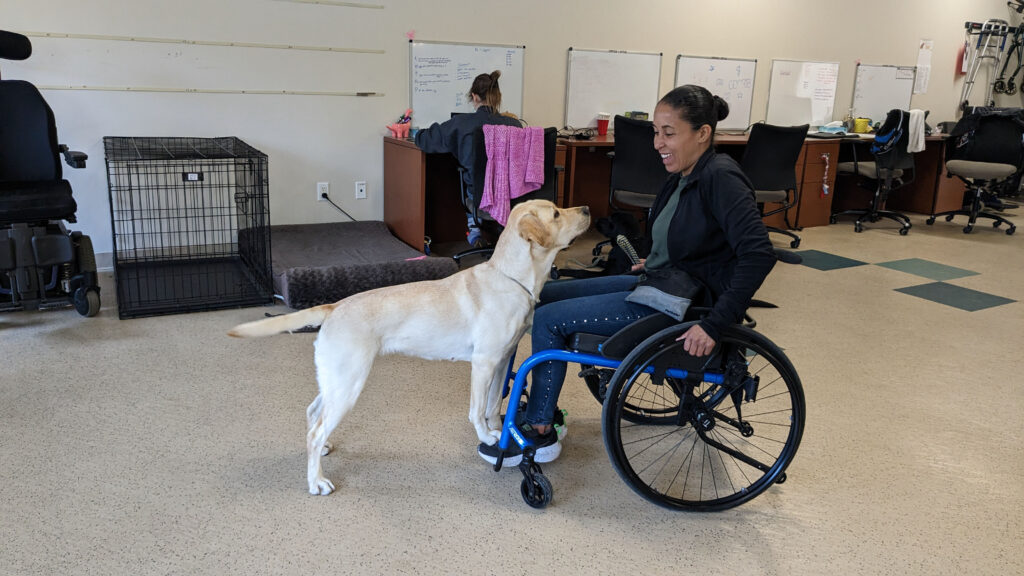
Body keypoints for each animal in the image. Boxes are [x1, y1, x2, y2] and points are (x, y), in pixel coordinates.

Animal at [227, 199, 589, 491]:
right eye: (556, 213)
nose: (586, 209)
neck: (511, 278)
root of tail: (335, 306)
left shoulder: (502, 361)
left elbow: (493, 404)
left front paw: (498, 431)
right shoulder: (484, 362)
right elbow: (476, 409)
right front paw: (486, 437)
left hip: (334, 379)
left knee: (313, 414)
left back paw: (323, 450)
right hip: (348, 382)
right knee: (315, 430)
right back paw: (316, 481)